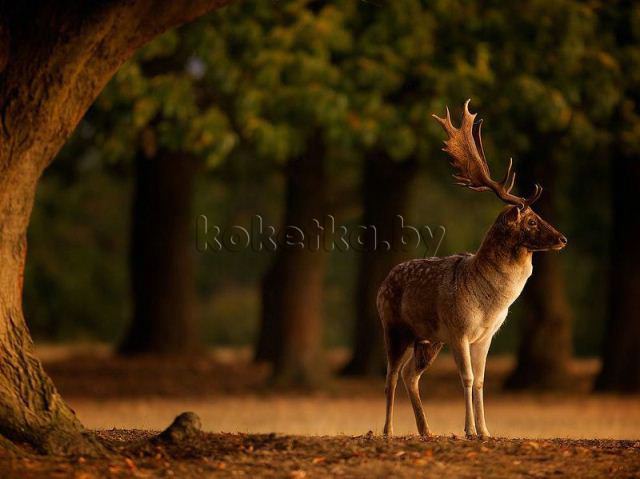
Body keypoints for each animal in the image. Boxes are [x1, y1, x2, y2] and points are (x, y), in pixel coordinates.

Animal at [378, 100, 568, 438]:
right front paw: (468, 429)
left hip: (429, 339)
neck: (489, 304)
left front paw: (485, 431)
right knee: (390, 376)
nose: (562, 238)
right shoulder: (459, 330)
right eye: (532, 221)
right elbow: (466, 378)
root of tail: (382, 284)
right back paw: (387, 430)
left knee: (411, 375)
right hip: (395, 326)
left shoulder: (485, 336)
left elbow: (480, 381)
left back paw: (426, 430)